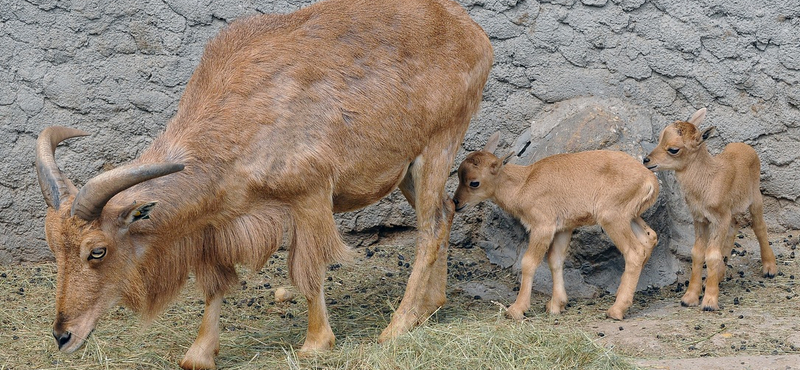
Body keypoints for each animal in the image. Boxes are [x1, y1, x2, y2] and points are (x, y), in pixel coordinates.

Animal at [36, 0, 494, 368]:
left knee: (431, 225)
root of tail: (473, 32)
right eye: (54, 247)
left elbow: (307, 269)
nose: (62, 335)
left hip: (438, 144)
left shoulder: (309, 195)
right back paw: (427, 309)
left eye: (97, 250)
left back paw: (397, 326)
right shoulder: (216, 224)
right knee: (446, 213)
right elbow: (216, 285)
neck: (239, 120)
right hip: (406, 169)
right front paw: (200, 352)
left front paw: (315, 343)